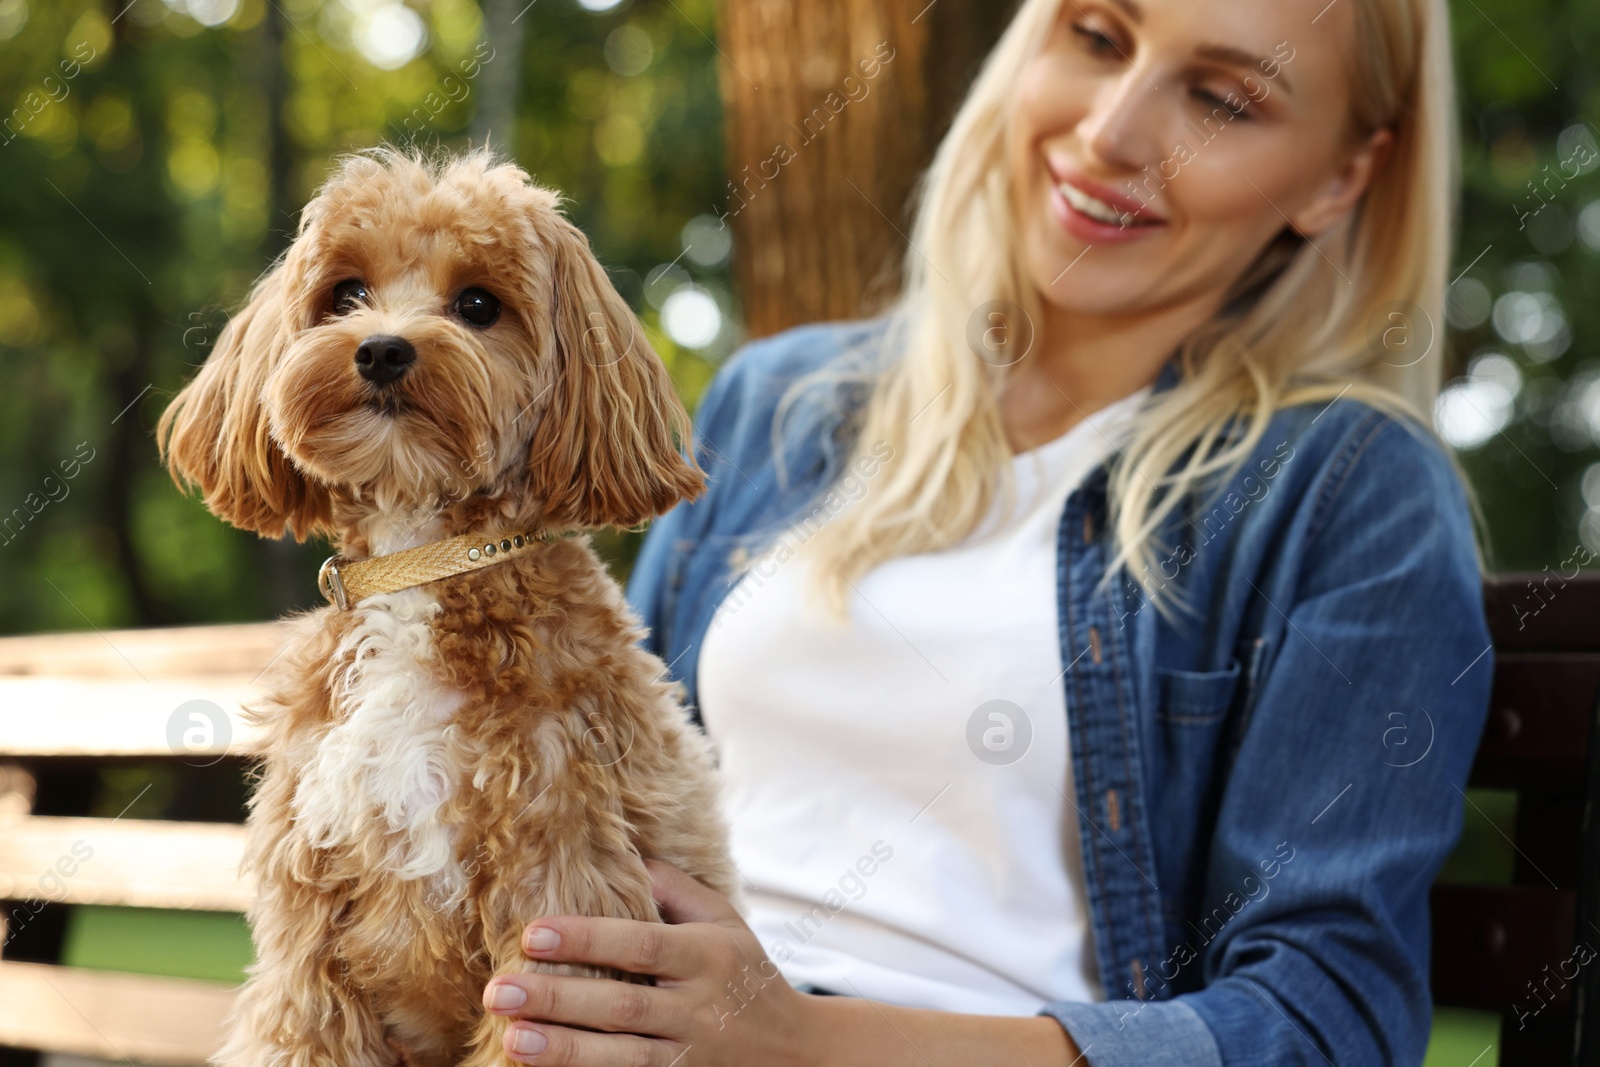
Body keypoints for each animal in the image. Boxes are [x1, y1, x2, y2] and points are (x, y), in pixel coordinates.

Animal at [156, 147, 742, 1067]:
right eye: (346, 293)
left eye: (477, 305)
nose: (382, 350)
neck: (423, 557)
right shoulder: (307, 935)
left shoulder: (559, 899)